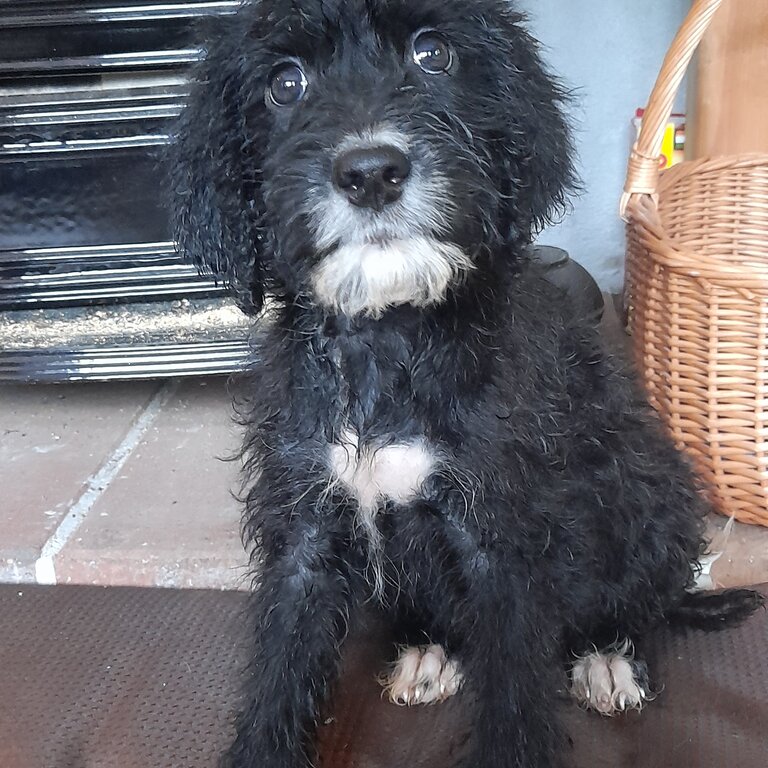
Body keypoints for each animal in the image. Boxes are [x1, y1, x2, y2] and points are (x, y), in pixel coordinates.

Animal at [170, 3, 760, 764]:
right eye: (284, 84)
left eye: (434, 53)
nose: (371, 172)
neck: (389, 336)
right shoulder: (305, 527)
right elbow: (281, 665)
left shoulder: (504, 546)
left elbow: (513, 695)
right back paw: (430, 650)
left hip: (651, 496)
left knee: (639, 602)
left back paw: (607, 656)